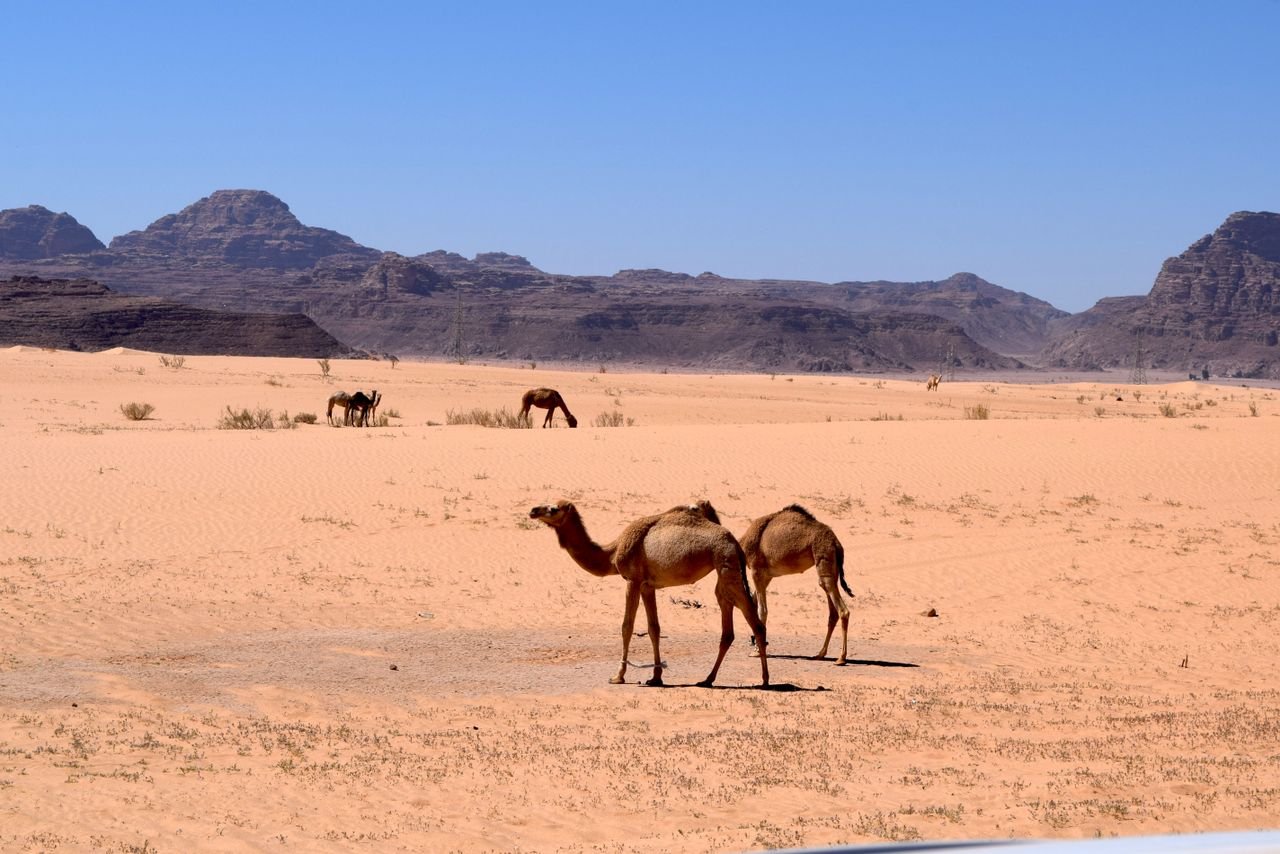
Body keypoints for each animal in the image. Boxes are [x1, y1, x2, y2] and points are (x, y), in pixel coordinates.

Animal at [529, 500, 768, 687]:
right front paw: (655, 677)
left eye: (553, 508)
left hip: (727, 567)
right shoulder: (647, 586)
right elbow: (654, 629)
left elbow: (627, 627)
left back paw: (764, 680)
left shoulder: (632, 580)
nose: (532, 510)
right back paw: (707, 679)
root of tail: (736, 543)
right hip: (724, 572)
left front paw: (618, 676)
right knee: (728, 629)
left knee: (755, 623)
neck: (612, 552)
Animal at [739, 504, 853, 665]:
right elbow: (754, 606)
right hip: (830, 567)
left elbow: (762, 611)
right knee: (833, 612)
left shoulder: (757, 571)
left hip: (824, 557)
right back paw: (820, 654)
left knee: (843, 610)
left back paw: (841, 658)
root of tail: (836, 543)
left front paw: (757, 651)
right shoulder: (766, 576)